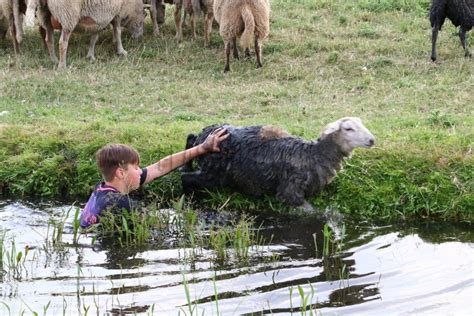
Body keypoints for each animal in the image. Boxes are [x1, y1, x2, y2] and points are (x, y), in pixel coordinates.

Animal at [180, 117, 376, 209]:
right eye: (348, 128)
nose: (372, 140)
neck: (313, 155)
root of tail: (205, 132)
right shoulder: (290, 192)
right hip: (214, 174)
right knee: (186, 178)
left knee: (189, 140)